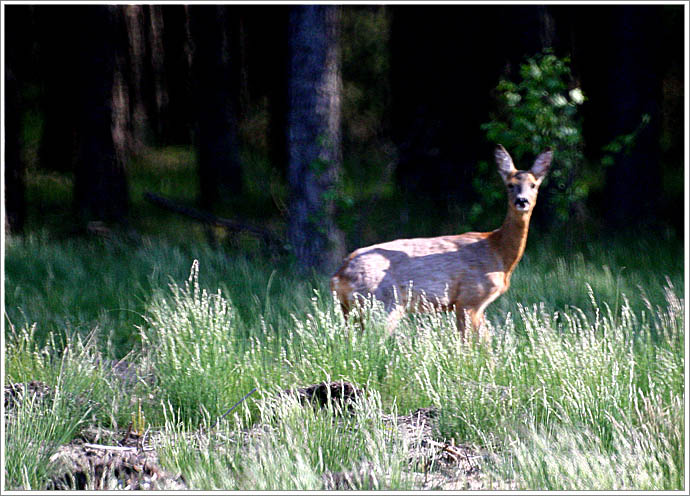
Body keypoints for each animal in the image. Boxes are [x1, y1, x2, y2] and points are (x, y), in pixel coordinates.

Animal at [330, 144, 552, 340]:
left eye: (533, 185)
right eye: (510, 185)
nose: (522, 201)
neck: (498, 253)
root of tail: (338, 275)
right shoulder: (470, 298)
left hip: (351, 309)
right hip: (383, 303)